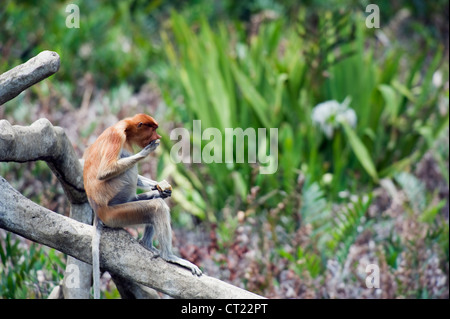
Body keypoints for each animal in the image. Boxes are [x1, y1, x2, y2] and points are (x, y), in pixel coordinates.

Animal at [84, 114, 202, 300]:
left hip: (127, 205)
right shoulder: (116, 137)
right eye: (152, 129)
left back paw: (147, 243)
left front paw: (161, 187)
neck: (126, 130)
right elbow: (105, 172)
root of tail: (98, 211)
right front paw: (147, 151)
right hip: (117, 214)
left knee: (156, 202)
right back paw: (169, 257)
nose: (158, 137)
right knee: (156, 207)